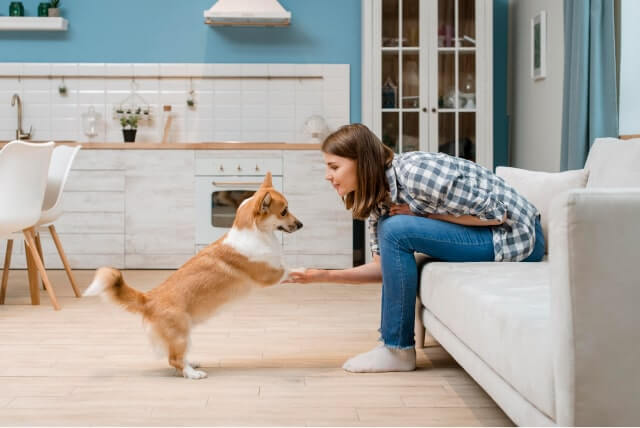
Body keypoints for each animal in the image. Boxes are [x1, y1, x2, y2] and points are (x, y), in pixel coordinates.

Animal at [84, 172, 302, 380]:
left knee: (177, 358)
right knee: (174, 360)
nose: (301, 224)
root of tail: (148, 299)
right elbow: (292, 269)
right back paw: (193, 374)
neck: (256, 234)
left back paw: (192, 364)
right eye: (284, 211)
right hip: (181, 335)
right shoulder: (271, 275)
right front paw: (307, 271)